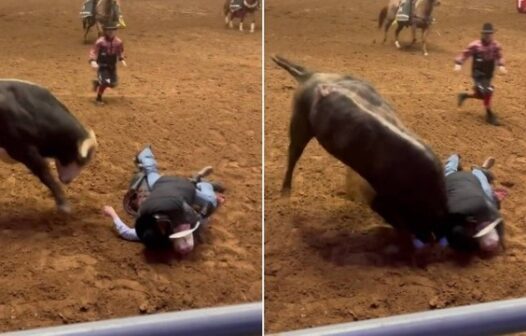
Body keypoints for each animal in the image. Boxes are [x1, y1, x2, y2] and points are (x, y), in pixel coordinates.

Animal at [274, 56, 452, 243]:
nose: (430, 238)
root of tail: (310, 77)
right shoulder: (382, 199)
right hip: (299, 123)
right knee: (293, 154)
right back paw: (285, 193)